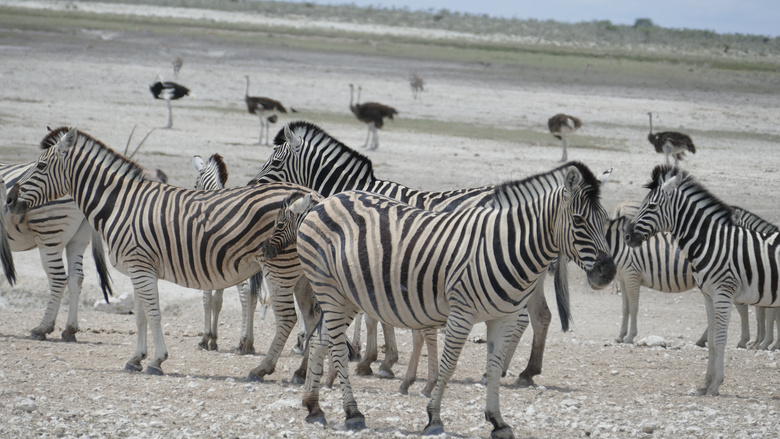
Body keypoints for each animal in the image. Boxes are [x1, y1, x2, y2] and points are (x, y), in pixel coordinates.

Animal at [8, 126, 314, 374]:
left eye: (41, 165)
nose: (9, 199)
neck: (120, 205)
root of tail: (311, 193)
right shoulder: (139, 269)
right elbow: (141, 316)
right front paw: (136, 358)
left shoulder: (141, 266)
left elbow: (154, 314)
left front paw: (157, 360)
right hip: (302, 272)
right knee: (312, 317)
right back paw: (302, 373)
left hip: (279, 267)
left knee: (288, 318)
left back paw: (263, 369)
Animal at [251, 119, 572, 388]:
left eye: (275, 160)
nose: (252, 185)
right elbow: (378, 312)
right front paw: (382, 360)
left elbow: (374, 315)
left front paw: (376, 361)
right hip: (526, 273)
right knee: (540, 316)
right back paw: (523, 371)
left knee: (522, 319)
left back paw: (502, 370)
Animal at [280, 163, 616, 438]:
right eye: (578, 220)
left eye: (607, 220)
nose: (608, 272)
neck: (505, 245)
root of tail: (327, 199)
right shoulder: (461, 313)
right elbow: (448, 365)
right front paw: (433, 419)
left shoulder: (504, 318)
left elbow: (494, 367)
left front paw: (498, 421)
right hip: (329, 288)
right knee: (336, 346)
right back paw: (352, 413)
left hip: (346, 295)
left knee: (320, 339)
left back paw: (314, 407)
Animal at [628, 164, 780, 396]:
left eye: (652, 206)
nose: (627, 236)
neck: (711, 242)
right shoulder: (708, 296)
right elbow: (712, 340)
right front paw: (705, 384)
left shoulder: (723, 294)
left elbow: (719, 338)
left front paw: (716, 384)